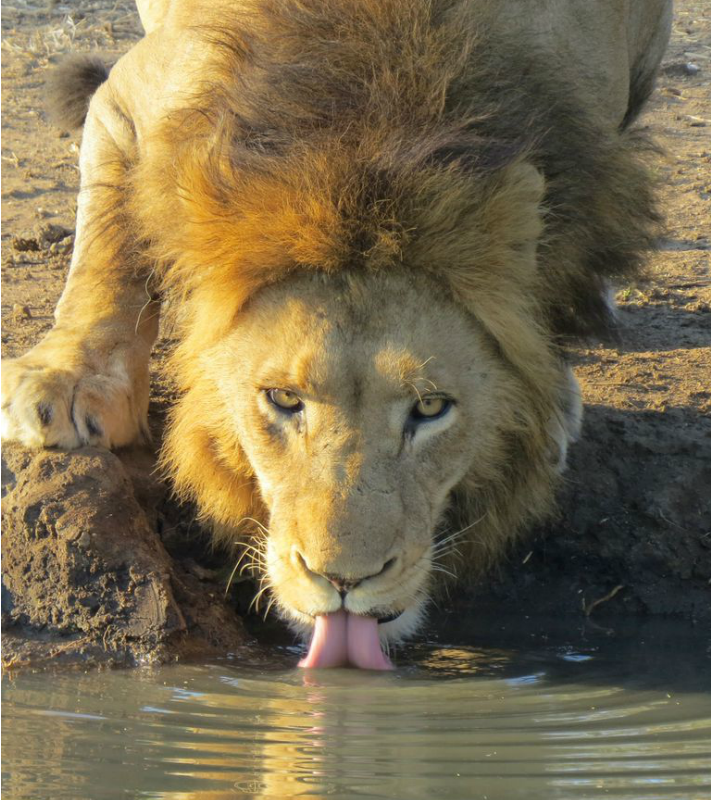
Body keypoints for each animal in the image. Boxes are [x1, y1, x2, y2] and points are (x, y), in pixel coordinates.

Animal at [1, 0, 672, 668]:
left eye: (432, 408)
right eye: (283, 400)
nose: (344, 580)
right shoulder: (129, 100)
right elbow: (108, 247)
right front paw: (69, 383)